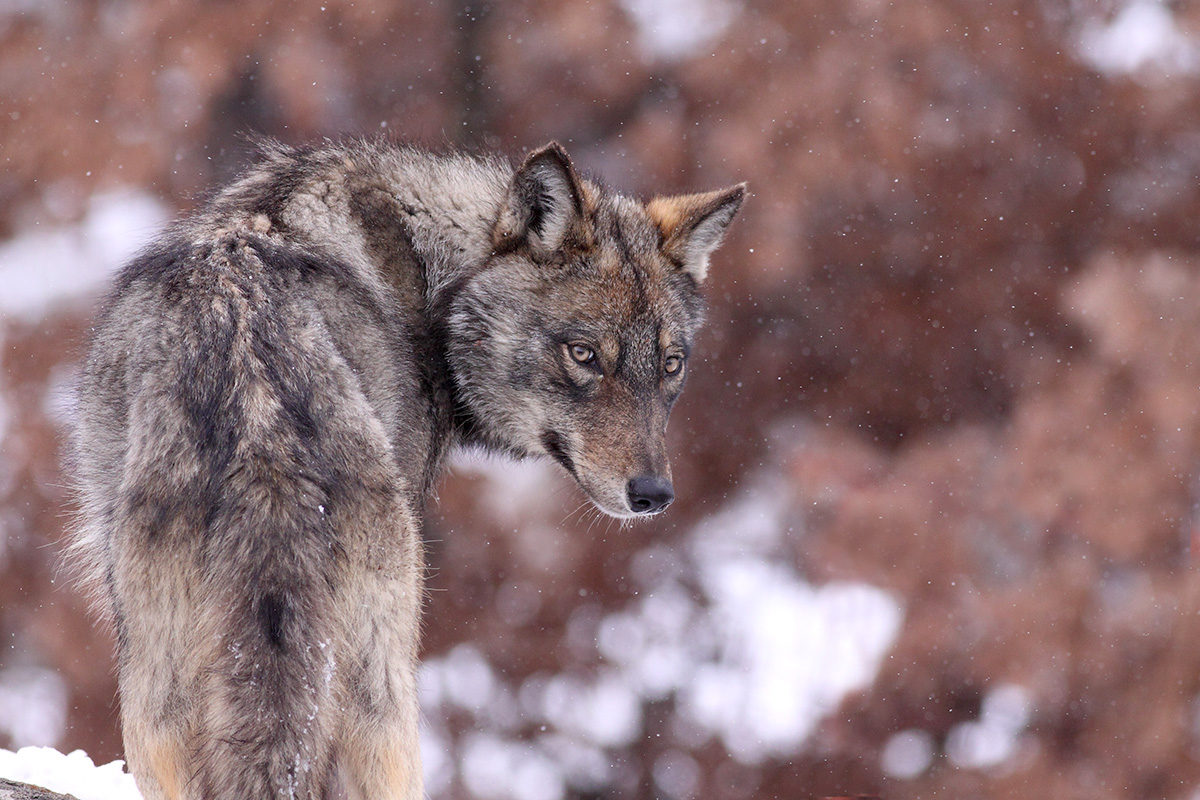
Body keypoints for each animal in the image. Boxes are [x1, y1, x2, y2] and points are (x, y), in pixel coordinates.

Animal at [71, 138, 743, 799]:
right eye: (583, 355)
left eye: (671, 364)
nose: (653, 494)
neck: (430, 280)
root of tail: (261, 431)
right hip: (385, 688)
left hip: (157, 699)